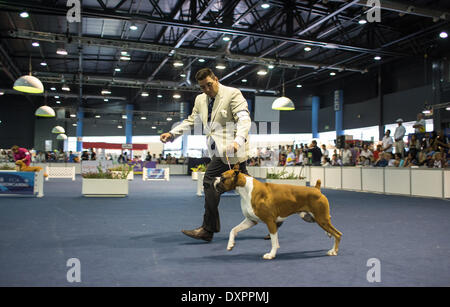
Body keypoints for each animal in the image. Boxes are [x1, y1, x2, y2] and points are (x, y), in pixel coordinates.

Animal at [214, 165, 342, 262]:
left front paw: (271, 255)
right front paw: (230, 245)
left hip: (321, 219)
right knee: (330, 223)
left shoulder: (270, 222)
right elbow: (233, 230)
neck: (246, 189)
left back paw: (333, 251)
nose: (214, 179)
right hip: (311, 217)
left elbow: (273, 241)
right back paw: (328, 235)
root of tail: (316, 189)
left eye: (222, 177)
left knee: (338, 234)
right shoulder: (251, 221)